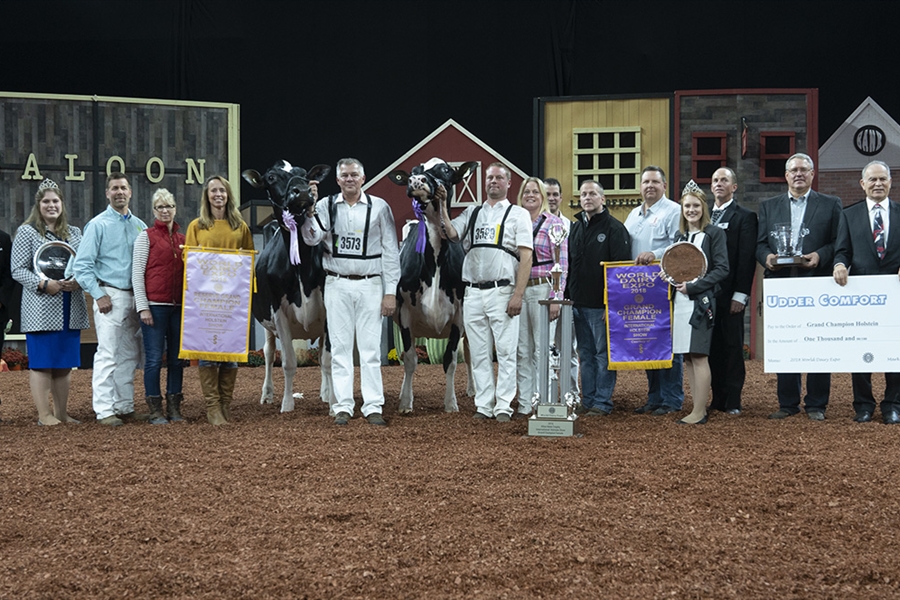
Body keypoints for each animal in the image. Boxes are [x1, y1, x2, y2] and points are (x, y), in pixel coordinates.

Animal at [243, 159, 334, 412]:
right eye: (271, 178)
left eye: (304, 174)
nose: (301, 191)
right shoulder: (278, 312)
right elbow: (288, 362)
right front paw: (287, 405)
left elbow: (327, 360)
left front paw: (334, 403)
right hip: (267, 324)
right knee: (268, 353)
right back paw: (267, 394)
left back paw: (325, 393)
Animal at [390, 158, 482, 412]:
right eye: (414, 171)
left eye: (446, 170)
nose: (417, 181)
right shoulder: (405, 314)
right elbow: (409, 359)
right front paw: (405, 402)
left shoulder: (459, 315)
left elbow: (450, 360)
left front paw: (450, 403)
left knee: (470, 355)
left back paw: (473, 390)